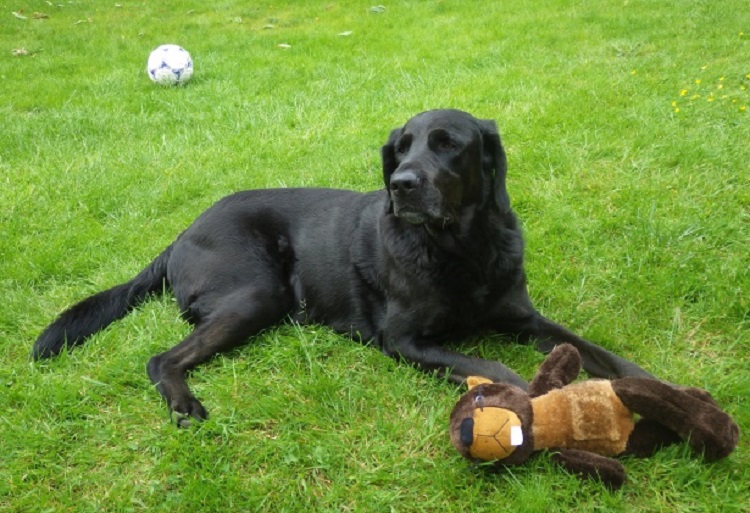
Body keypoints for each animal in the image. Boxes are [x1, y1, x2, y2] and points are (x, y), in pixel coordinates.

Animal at [32, 110, 656, 426]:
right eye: (400, 148)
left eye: (447, 144)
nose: (402, 184)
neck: (458, 249)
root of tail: (181, 234)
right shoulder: (403, 340)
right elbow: (501, 372)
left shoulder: (524, 317)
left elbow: (596, 350)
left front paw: (647, 387)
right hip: (257, 295)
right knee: (162, 357)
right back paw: (184, 405)